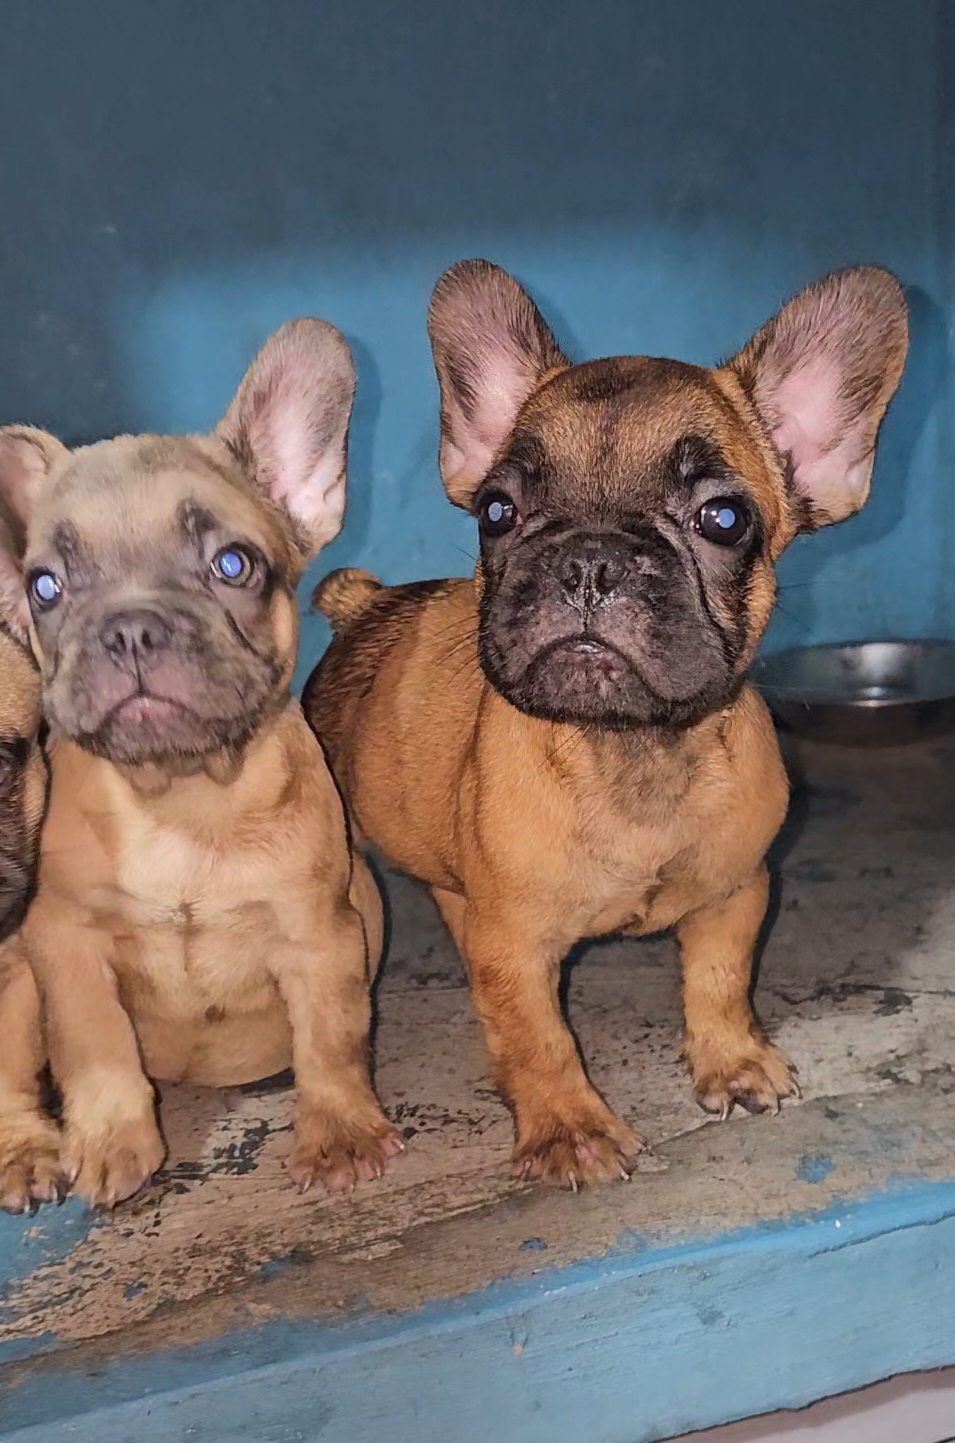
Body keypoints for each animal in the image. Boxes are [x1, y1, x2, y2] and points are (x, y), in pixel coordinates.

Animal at [0, 324, 401, 1206]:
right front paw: (111, 1139)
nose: (129, 628)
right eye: (44, 586)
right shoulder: (64, 940)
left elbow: (330, 1037)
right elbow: (94, 1041)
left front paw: (340, 1130)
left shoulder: (319, 933)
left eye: (232, 564)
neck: (179, 795)